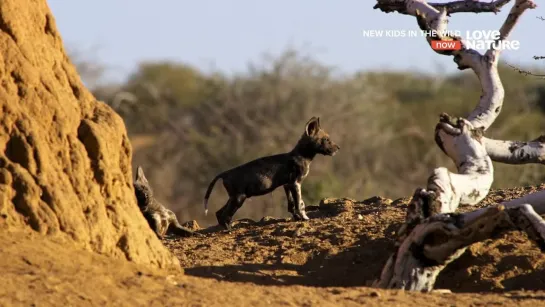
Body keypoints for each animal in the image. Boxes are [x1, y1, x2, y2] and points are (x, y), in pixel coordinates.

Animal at [202, 116, 338, 230]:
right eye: (326, 139)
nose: (338, 148)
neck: (302, 155)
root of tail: (224, 173)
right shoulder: (296, 183)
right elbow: (300, 204)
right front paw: (304, 218)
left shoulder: (287, 185)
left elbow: (291, 205)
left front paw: (296, 218)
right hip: (239, 198)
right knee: (225, 215)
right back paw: (229, 230)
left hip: (234, 197)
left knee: (219, 213)